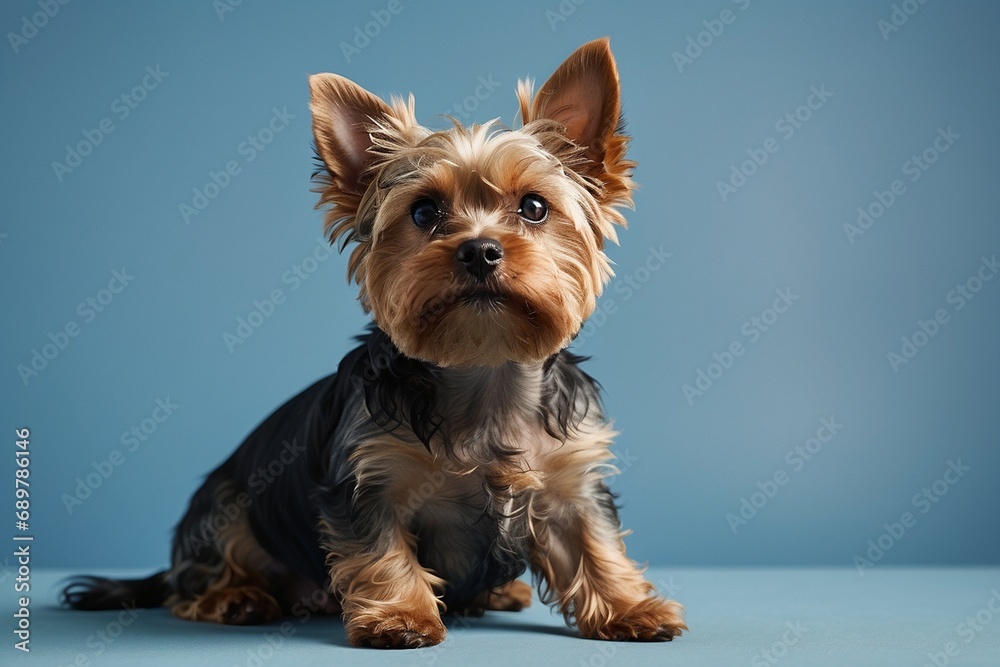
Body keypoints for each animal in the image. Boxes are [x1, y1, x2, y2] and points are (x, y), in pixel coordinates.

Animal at [62, 35, 684, 648]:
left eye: (534, 206)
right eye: (424, 211)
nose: (479, 250)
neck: (485, 370)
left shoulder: (570, 477)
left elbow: (594, 540)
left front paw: (630, 606)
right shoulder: (370, 474)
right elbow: (382, 549)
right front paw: (400, 616)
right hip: (226, 505)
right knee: (197, 575)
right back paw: (236, 598)